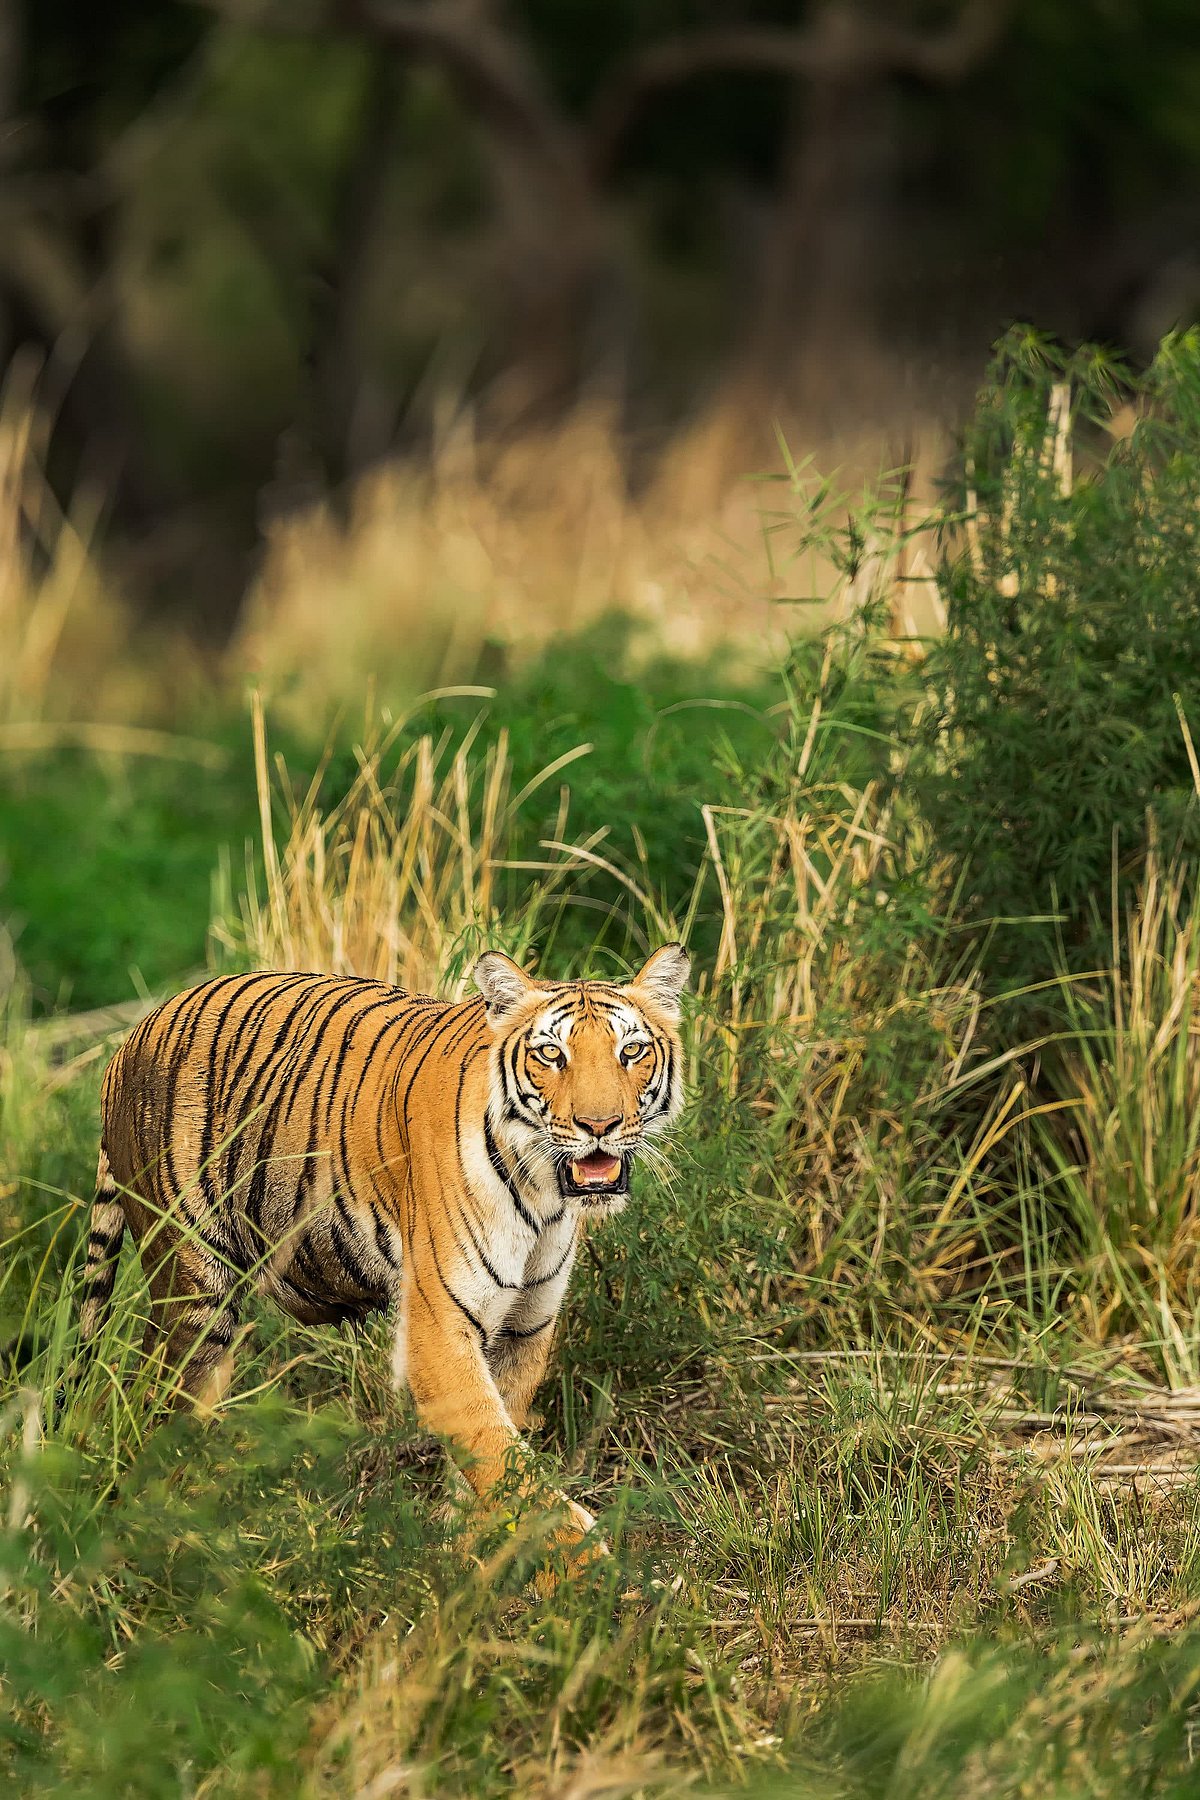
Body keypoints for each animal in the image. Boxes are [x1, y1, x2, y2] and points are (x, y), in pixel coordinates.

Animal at [80, 944, 690, 1553]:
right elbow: (506, 1461)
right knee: (160, 1403)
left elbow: (490, 1460)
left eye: (631, 1051)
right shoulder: (440, 1330)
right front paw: (582, 1559)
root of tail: (129, 1039)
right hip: (192, 1295)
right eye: (551, 1054)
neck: (544, 1194)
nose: (599, 1125)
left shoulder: (525, 1328)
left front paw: (473, 1553)